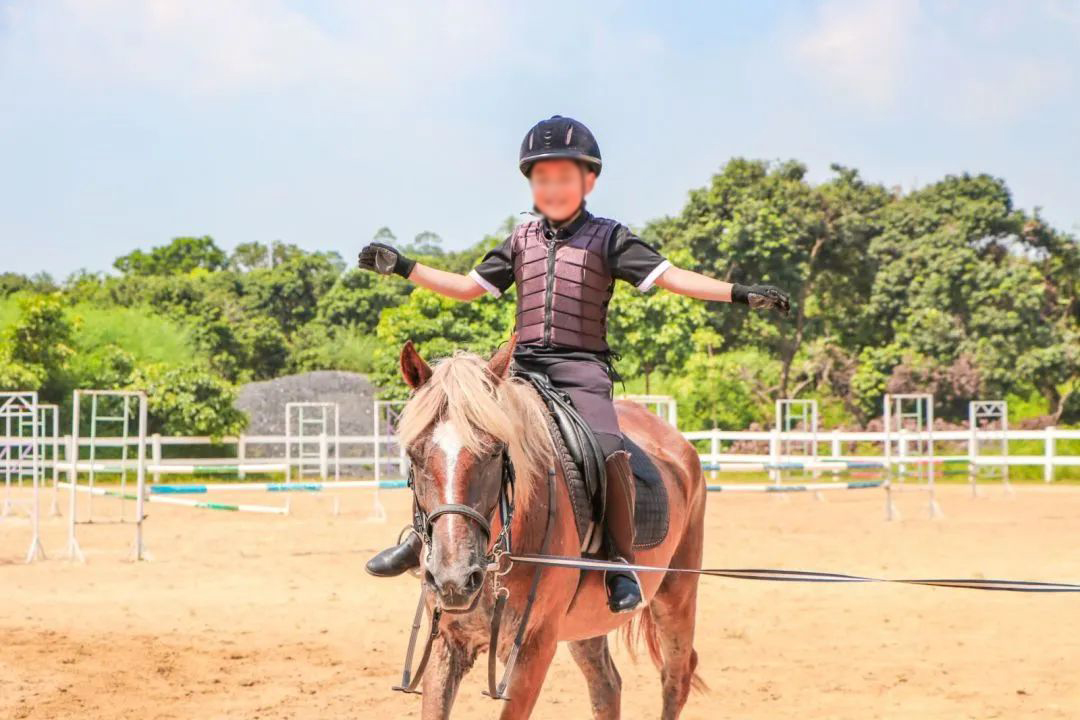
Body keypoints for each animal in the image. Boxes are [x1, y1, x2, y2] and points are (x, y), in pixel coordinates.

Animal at [395, 334, 708, 716]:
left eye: (496, 451)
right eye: (414, 453)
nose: (453, 579)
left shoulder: (535, 648)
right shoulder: (447, 642)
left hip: (676, 596)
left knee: (676, 676)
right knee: (607, 684)